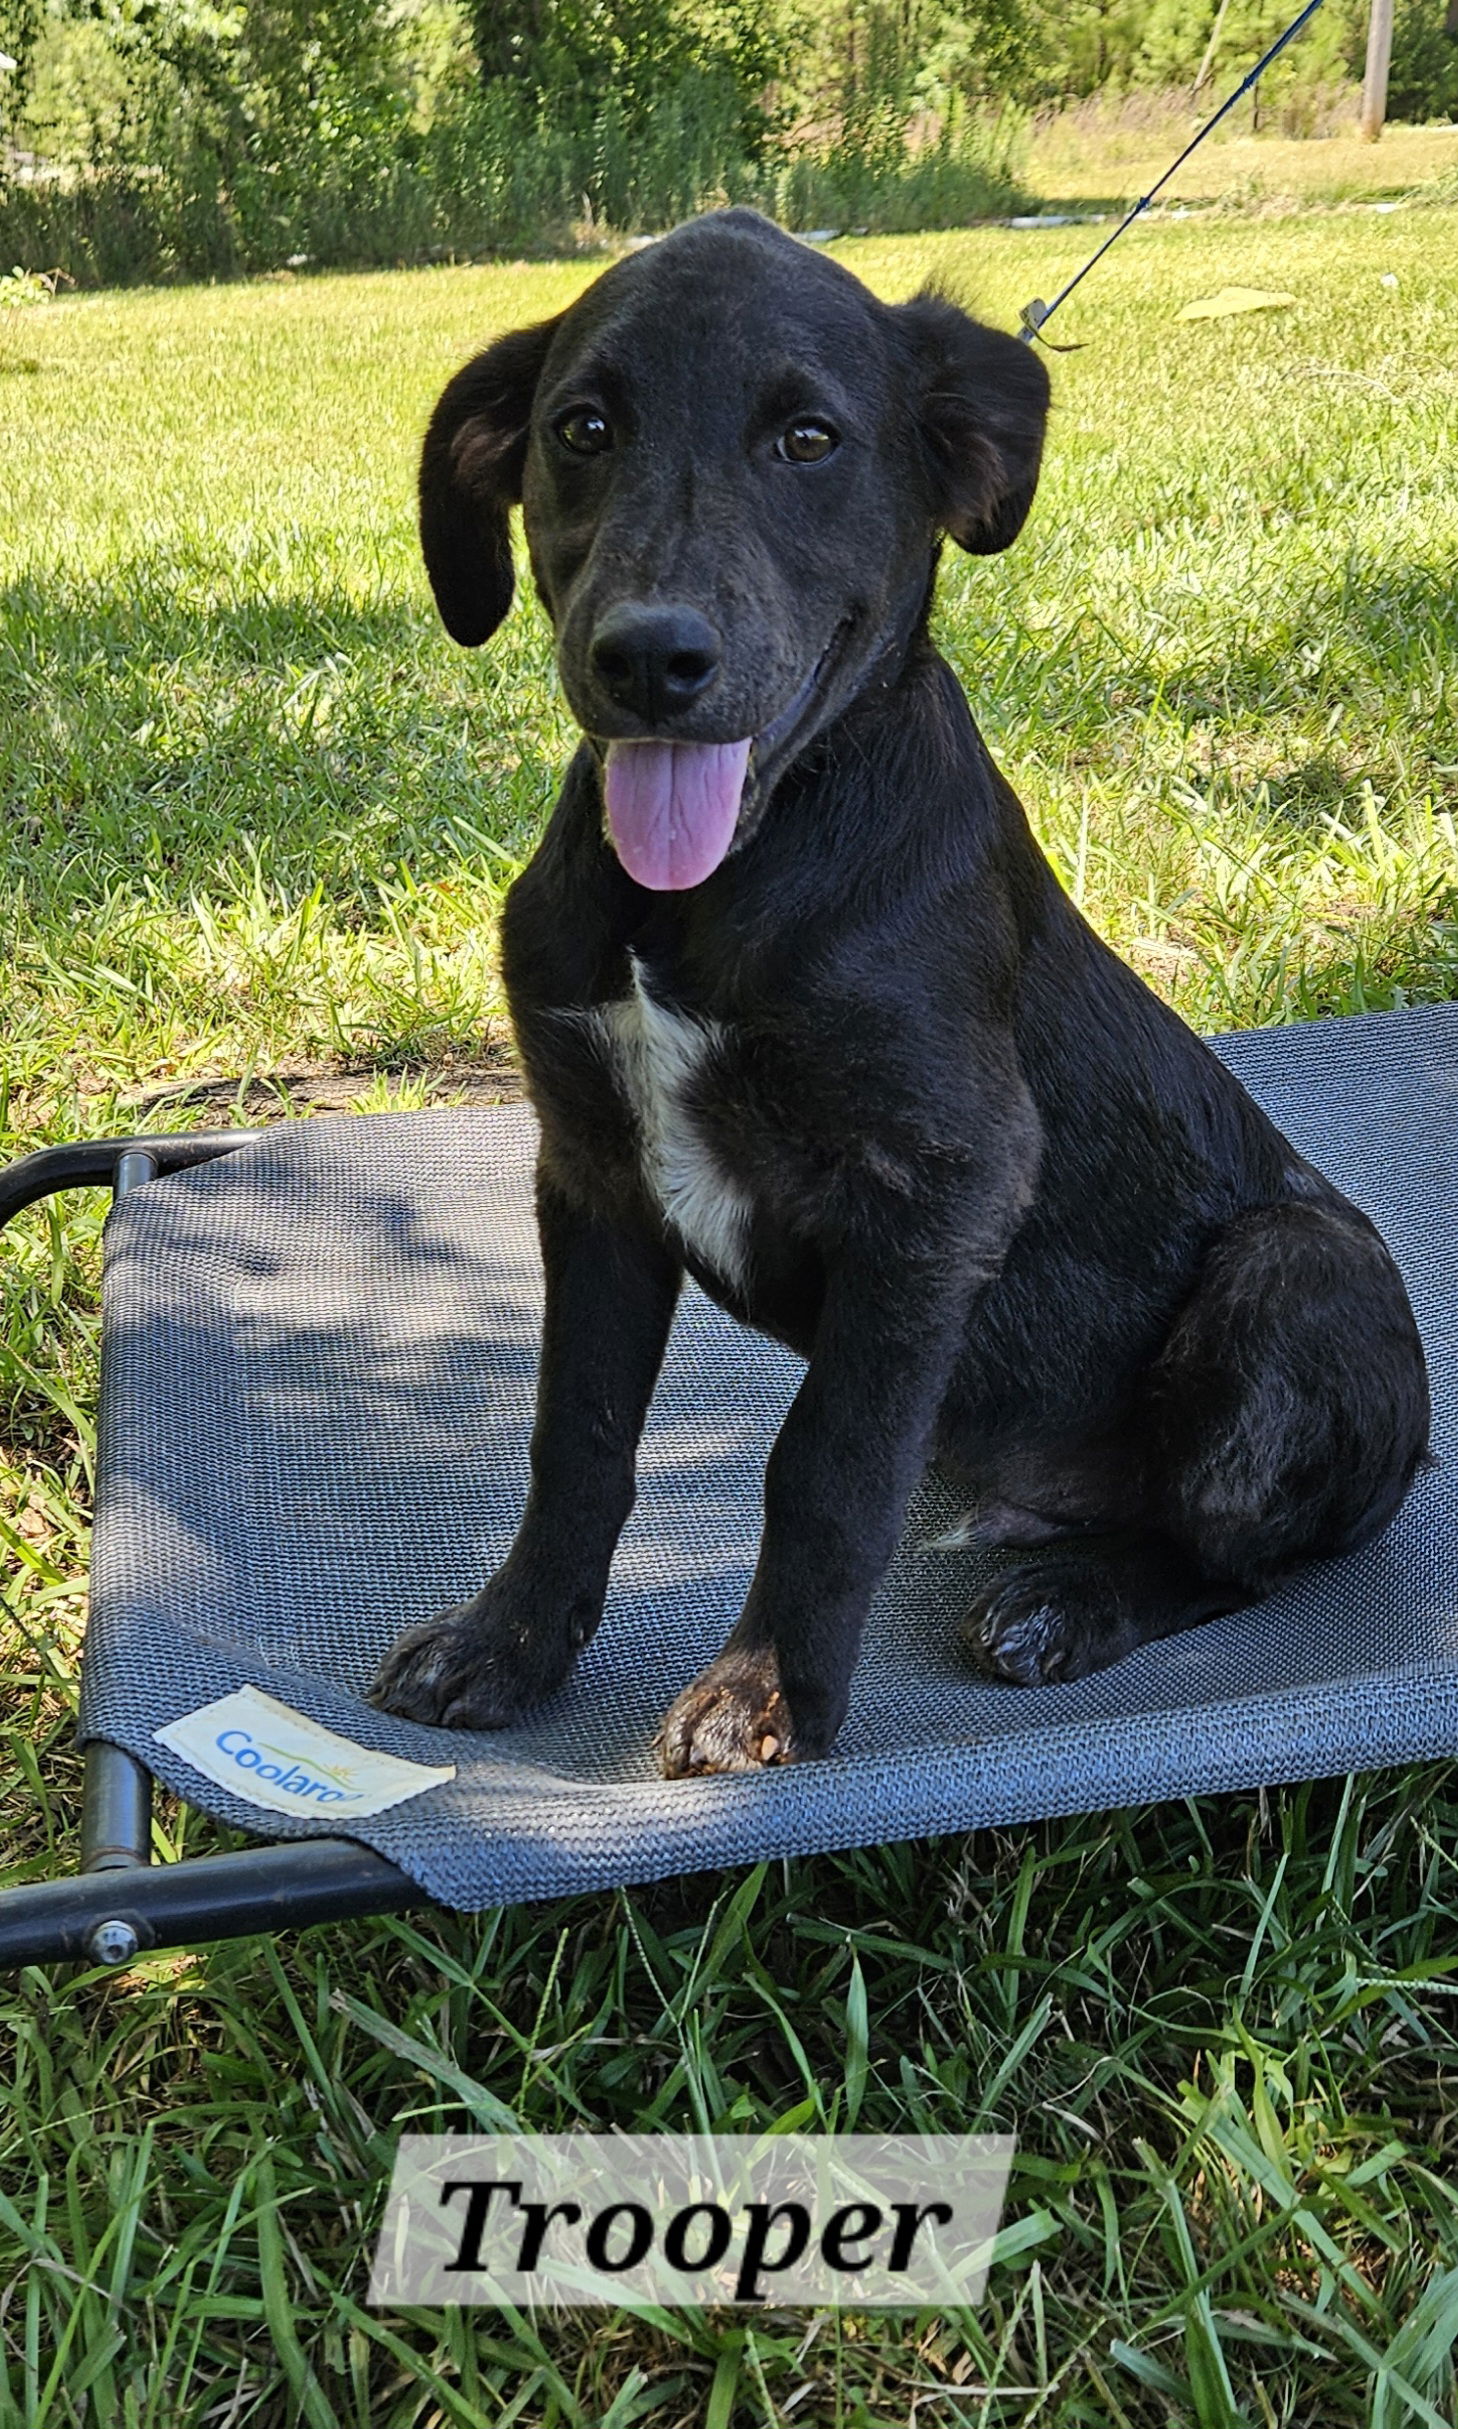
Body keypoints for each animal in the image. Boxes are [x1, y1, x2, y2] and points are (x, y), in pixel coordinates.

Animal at [369, 208, 1428, 1768]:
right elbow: (577, 1436)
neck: (720, 885)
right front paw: (510, 1641)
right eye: (582, 429)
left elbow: (825, 1463)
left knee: (1247, 1557)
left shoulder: (935, 1188)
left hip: (1295, 1277)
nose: (649, 657)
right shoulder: (593, 1172)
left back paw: (1068, 1601)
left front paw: (766, 1692)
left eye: (809, 439)